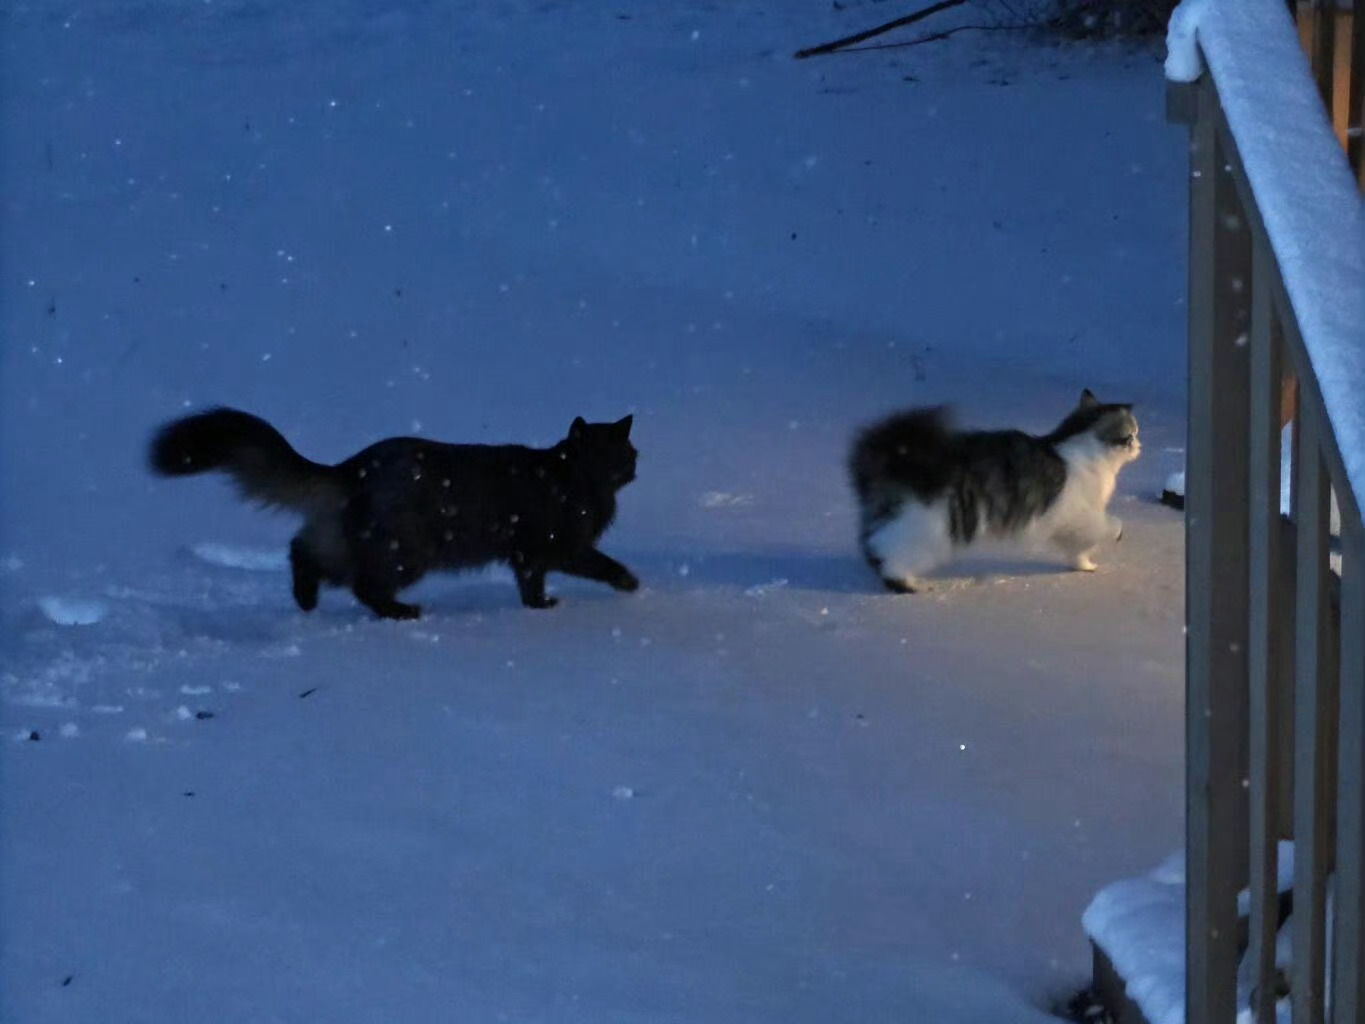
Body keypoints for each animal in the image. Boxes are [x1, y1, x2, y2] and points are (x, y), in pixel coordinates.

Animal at [149, 406, 638, 617]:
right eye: (625, 453)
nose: (635, 465)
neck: (575, 477)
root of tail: (352, 467)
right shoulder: (559, 546)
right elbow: (603, 564)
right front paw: (630, 584)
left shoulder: (528, 557)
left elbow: (530, 586)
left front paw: (540, 606)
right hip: (408, 552)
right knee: (363, 587)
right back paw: (402, 612)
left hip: (350, 542)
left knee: (302, 551)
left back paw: (306, 603)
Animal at [851, 395, 1141, 600]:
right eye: (1133, 434)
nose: (1140, 444)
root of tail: (900, 458)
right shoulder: (1077, 512)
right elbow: (1108, 524)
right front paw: (1116, 533)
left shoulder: (1070, 524)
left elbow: (1079, 548)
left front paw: (1084, 566)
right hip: (929, 529)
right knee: (891, 557)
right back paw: (911, 585)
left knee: (875, 545)